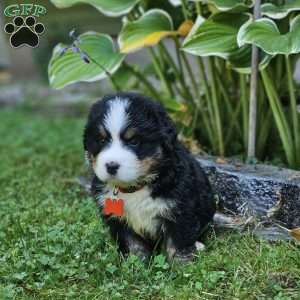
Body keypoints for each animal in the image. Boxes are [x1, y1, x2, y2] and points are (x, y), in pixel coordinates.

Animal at [83, 92, 217, 262]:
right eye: (101, 140)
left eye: (134, 141)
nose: (111, 166)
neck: (135, 188)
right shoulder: (119, 221)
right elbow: (133, 244)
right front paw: (136, 263)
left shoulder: (179, 211)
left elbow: (178, 243)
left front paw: (182, 265)